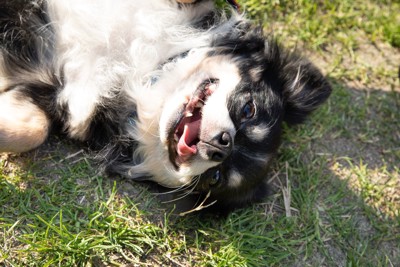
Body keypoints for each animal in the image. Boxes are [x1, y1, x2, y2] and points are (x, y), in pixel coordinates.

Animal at [0, 0, 332, 214]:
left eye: (215, 178)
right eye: (248, 110)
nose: (221, 146)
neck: (146, 73)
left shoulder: (53, 92)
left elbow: (35, 129)